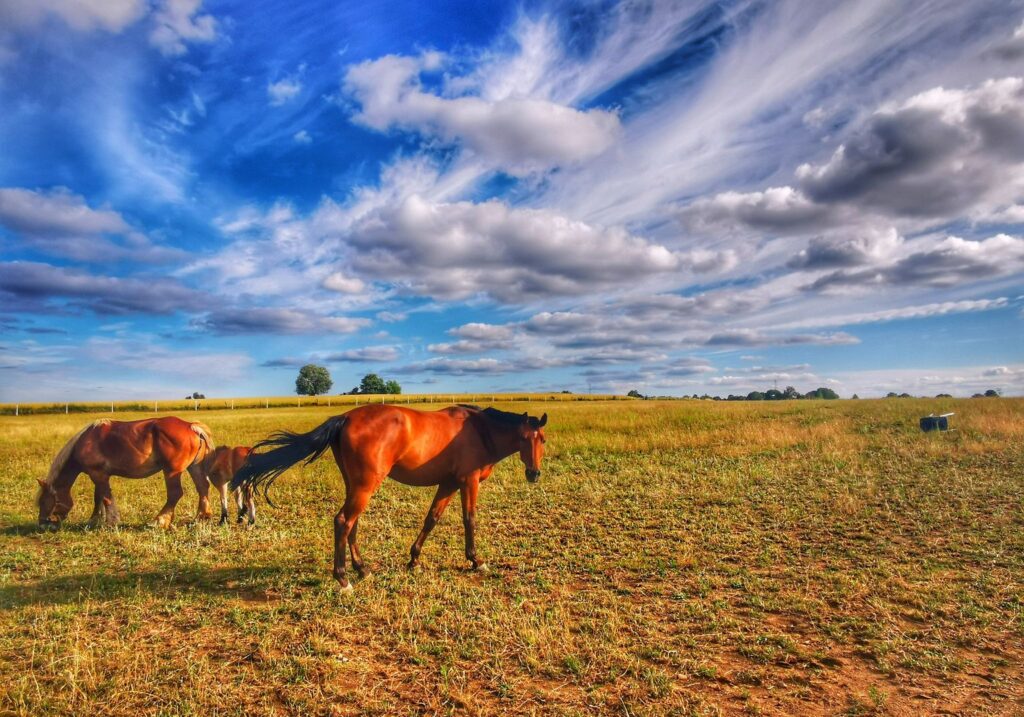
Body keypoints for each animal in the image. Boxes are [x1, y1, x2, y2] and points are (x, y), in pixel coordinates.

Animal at [38, 417, 216, 528]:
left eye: (42, 501)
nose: (42, 523)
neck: (85, 441)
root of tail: (191, 426)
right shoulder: (98, 475)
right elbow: (98, 497)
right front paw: (94, 520)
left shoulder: (98, 475)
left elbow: (106, 498)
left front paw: (111, 522)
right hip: (193, 467)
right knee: (202, 487)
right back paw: (201, 517)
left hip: (172, 471)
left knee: (175, 494)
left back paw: (159, 521)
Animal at [229, 403, 548, 589]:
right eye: (524, 438)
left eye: (542, 439)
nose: (534, 474)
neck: (479, 431)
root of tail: (345, 418)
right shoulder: (468, 482)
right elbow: (469, 520)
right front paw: (476, 560)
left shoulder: (448, 483)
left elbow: (431, 519)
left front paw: (414, 560)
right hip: (366, 485)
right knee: (343, 521)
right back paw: (343, 577)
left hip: (356, 484)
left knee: (351, 524)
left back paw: (361, 569)